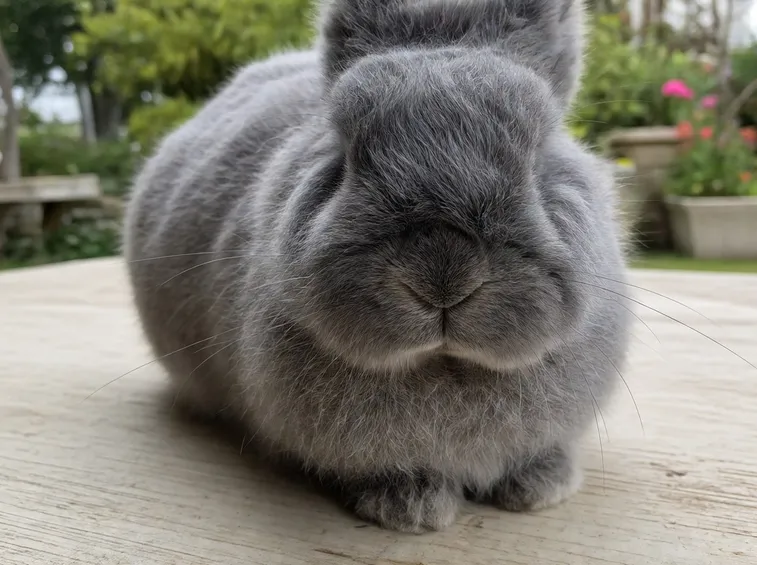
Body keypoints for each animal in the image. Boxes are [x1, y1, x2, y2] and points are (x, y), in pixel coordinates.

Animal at [123, 0, 631, 533]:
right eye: (345, 155)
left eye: (538, 153)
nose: (442, 275)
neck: (445, 369)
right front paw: (413, 508)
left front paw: (542, 488)